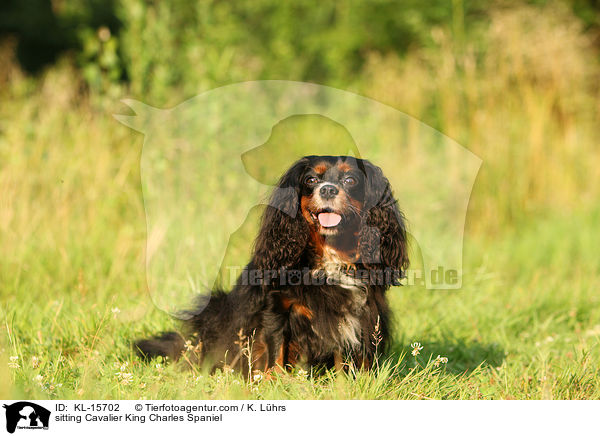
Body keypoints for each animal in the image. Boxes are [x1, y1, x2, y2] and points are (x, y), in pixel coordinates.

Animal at [135, 155, 408, 372]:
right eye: (311, 180)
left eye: (350, 180)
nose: (328, 190)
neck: (329, 254)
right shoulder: (277, 309)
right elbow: (276, 350)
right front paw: (273, 383)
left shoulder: (361, 313)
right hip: (214, 307)